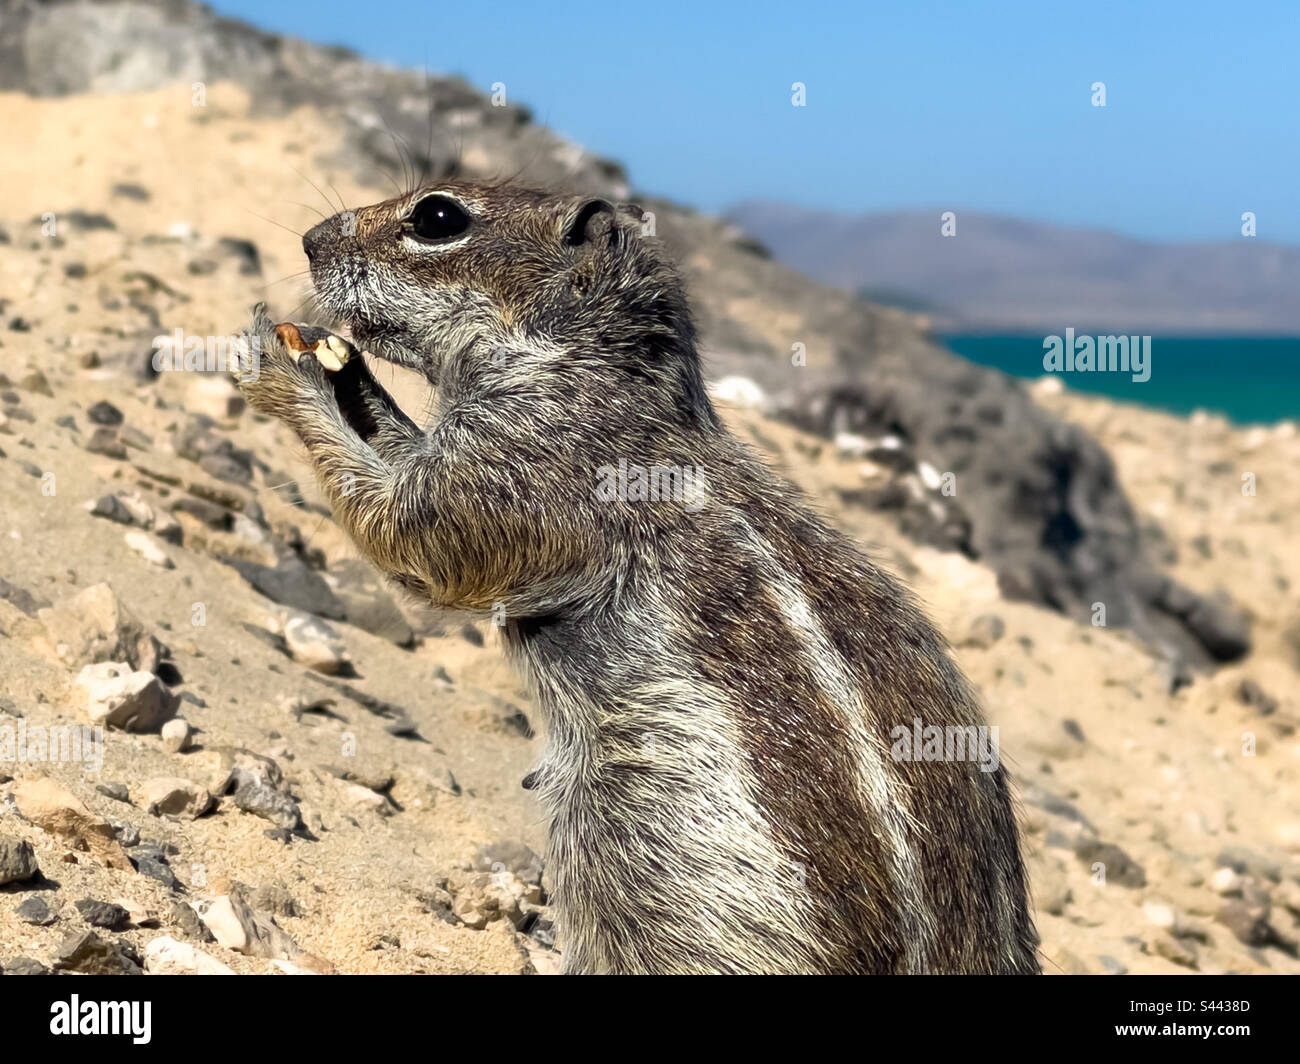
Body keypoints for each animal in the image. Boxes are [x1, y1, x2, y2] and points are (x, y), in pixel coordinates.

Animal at [235, 180, 1039, 974]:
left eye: (437, 217)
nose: (310, 240)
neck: (587, 371)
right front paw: (339, 368)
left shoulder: (523, 467)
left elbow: (412, 535)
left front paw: (284, 371)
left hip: (643, 859)